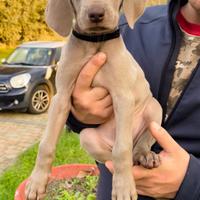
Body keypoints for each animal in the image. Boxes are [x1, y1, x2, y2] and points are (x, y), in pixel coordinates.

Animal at [25, 0, 162, 200]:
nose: (96, 14)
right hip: (87, 136)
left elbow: (122, 148)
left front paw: (123, 187)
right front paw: (36, 182)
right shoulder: (61, 98)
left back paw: (145, 156)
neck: (95, 44)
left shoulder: (123, 96)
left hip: (154, 107)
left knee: (137, 143)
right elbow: (46, 145)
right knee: (110, 158)